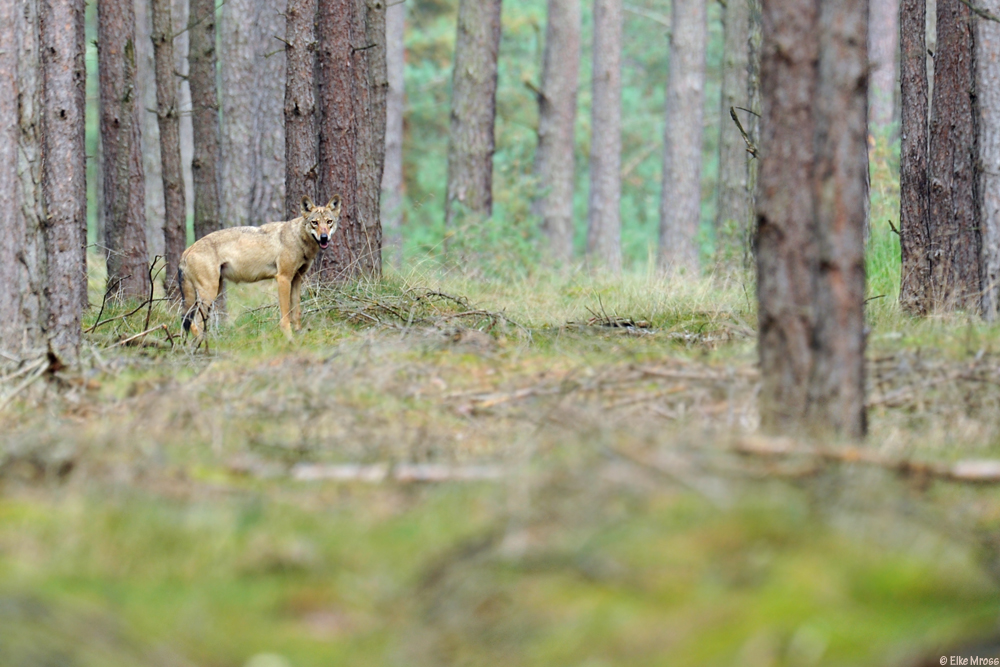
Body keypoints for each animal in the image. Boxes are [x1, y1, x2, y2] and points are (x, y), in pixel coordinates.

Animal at [176, 194, 340, 340]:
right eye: (315, 223)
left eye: (329, 222)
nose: (324, 238)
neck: (298, 239)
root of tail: (186, 251)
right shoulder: (283, 278)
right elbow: (285, 314)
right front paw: (289, 337)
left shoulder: (296, 280)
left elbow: (296, 311)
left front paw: (299, 334)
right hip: (209, 292)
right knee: (194, 323)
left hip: (214, 290)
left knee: (195, 322)